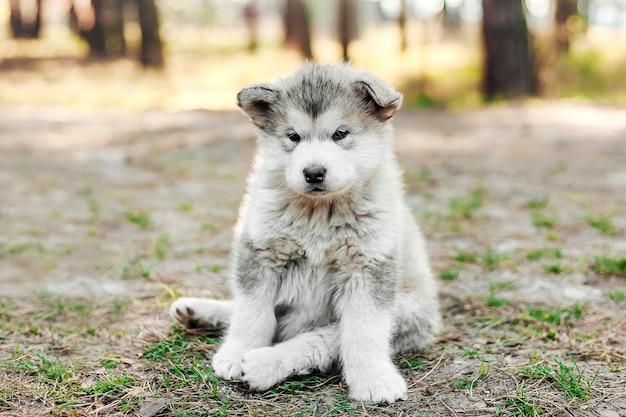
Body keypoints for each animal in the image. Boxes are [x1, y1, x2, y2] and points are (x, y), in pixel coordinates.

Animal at [168, 62, 436, 404]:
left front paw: (374, 379)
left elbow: (363, 332)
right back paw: (198, 311)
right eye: (293, 136)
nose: (314, 172)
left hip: (407, 311)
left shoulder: (367, 267)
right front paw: (236, 351)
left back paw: (265, 363)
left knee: (323, 339)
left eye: (340, 134)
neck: (319, 212)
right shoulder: (261, 252)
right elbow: (251, 313)